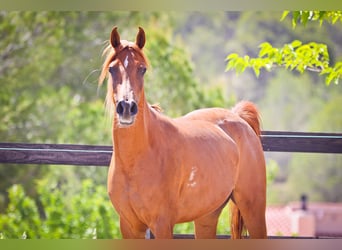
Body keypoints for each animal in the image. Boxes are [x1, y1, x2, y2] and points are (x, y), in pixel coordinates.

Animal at [99, 26, 268, 238]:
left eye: (142, 69)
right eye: (112, 69)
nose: (127, 107)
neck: (137, 159)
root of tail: (238, 118)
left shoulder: (162, 224)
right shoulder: (129, 226)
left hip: (253, 209)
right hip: (207, 216)